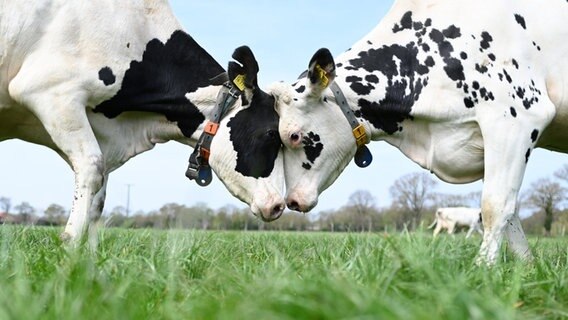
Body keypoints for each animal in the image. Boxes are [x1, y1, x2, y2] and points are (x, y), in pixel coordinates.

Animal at [0, 0, 284, 240]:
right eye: (271, 133)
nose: (278, 205)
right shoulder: (51, 93)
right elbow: (92, 168)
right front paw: (70, 245)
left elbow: (98, 198)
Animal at [270, 0, 568, 264]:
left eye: (294, 136)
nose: (292, 200)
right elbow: (512, 211)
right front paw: (526, 270)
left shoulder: (515, 117)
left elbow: (496, 205)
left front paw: (483, 269)